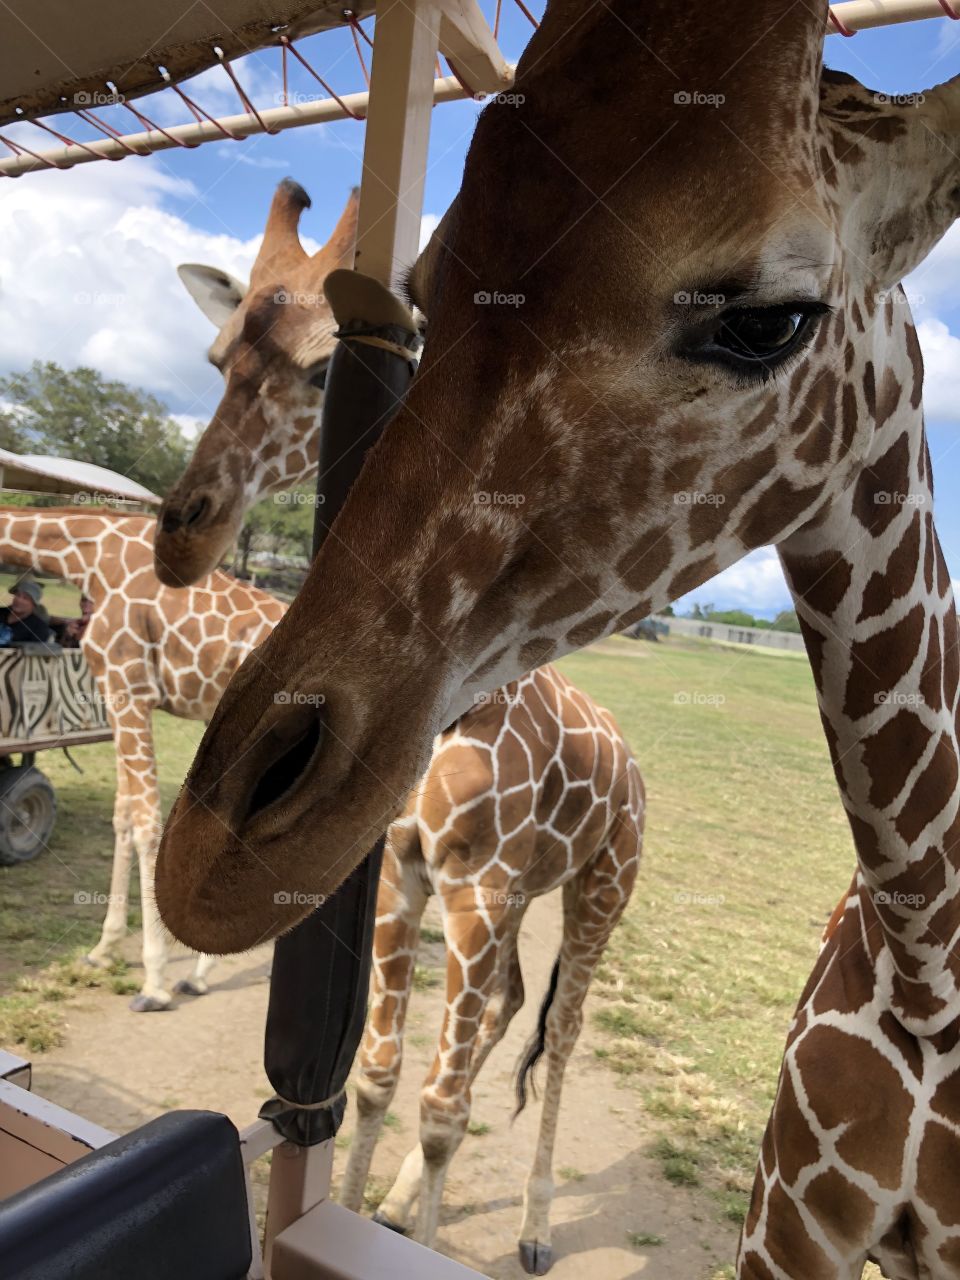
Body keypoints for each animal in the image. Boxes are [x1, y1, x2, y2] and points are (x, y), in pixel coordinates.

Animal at [0, 506, 284, 1010]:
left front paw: (153, 982)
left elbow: (147, 823)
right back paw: (201, 975)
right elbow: (123, 817)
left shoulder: (130, 689)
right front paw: (103, 950)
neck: (85, 555)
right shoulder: (115, 694)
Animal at [155, 3, 960, 1271]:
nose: (214, 856)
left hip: (598, 893)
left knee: (560, 1031)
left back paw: (531, 1226)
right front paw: (375, 1199)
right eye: (429, 295)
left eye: (768, 321)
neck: (933, 957)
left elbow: (444, 1091)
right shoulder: (410, 875)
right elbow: (381, 1074)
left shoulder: (480, 888)